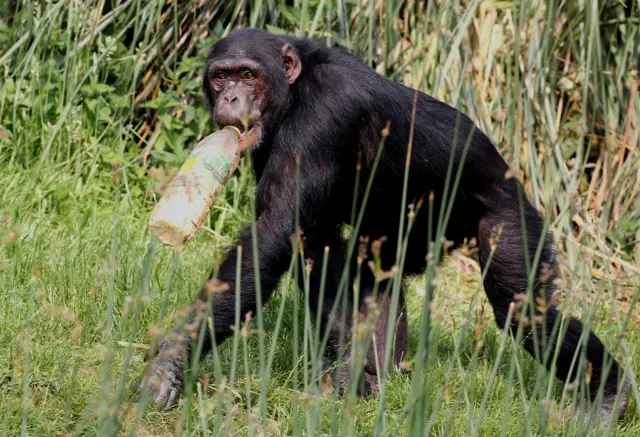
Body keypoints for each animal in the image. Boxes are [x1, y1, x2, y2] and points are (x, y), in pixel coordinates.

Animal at [136, 27, 632, 418]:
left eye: (248, 75)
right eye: (222, 76)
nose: (231, 96)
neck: (294, 92)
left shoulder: (325, 113)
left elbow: (272, 235)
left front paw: (171, 358)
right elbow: (307, 240)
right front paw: (342, 378)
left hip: (510, 219)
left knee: (525, 309)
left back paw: (609, 397)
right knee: (370, 276)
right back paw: (373, 374)